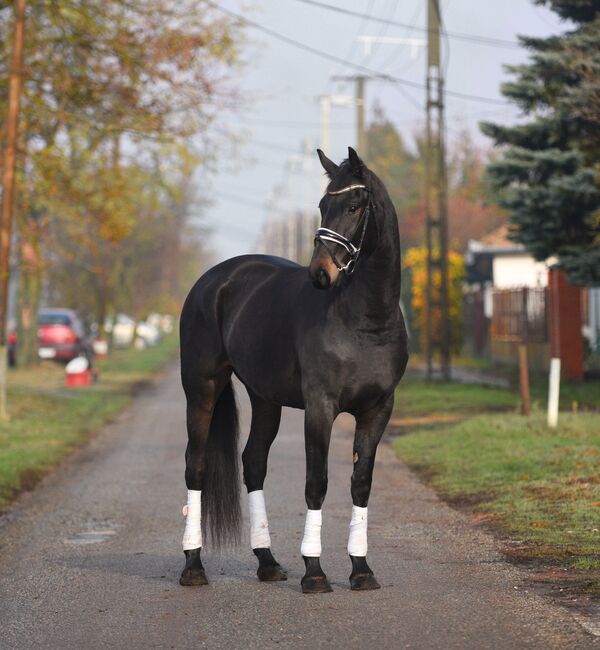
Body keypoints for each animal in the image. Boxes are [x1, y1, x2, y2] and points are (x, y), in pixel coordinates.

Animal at [178, 147, 408, 592]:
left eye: (354, 206)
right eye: (322, 205)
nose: (320, 273)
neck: (365, 320)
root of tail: (214, 280)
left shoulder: (378, 410)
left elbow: (361, 484)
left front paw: (361, 569)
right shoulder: (320, 408)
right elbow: (316, 484)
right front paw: (314, 572)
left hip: (265, 400)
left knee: (253, 464)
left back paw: (267, 562)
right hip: (201, 390)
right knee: (195, 467)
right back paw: (193, 566)